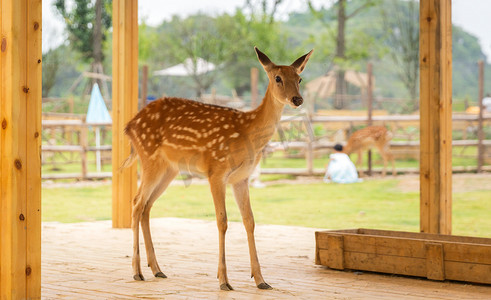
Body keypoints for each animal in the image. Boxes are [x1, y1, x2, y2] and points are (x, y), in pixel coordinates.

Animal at [121, 47, 314, 290]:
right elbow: (222, 221)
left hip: (169, 169)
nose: (297, 99)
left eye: (300, 78)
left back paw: (157, 269)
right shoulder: (216, 171)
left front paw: (260, 280)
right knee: (137, 203)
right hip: (149, 159)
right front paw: (223, 280)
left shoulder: (241, 178)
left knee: (147, 206)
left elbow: (249, 221)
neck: (247, 131)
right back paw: (137, 272)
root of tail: (129, 126)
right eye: (278, 78)